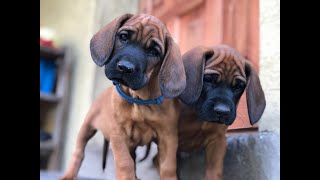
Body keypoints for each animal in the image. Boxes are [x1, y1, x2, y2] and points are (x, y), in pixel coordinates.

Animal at [60, 14, 186, 180]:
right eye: (124, 37)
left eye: (154, 52)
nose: (125, 68)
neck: (139, 100)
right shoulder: (118, 134)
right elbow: (125, 163)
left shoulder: (168, 137)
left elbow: (168, 167)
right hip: (86, 127)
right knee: (78, 152)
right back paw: (68, 175)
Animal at [178, 45, 264, 180]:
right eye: (208, 79)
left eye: (239, 86)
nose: (222, 112)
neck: (198, 117)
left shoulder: (217, 141)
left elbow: (214, 171)